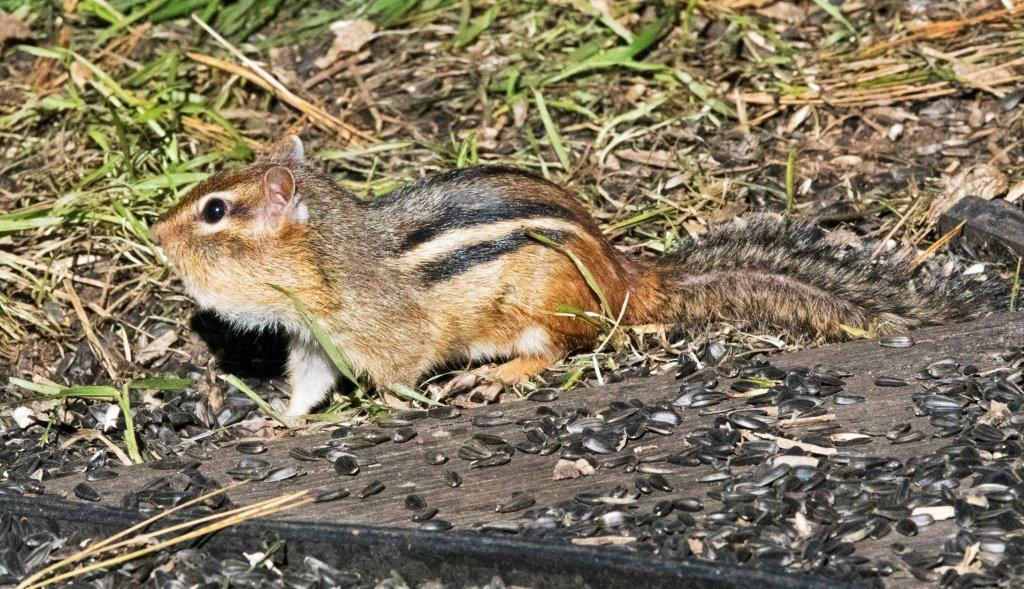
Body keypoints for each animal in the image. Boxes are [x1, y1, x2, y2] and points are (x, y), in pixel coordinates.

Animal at [151, 135, 1005, 416]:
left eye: (215, 212)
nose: (156, 232)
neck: (330, 259)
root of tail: (627, 277)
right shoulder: (314, 342)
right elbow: (308, 389)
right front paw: (279, 420)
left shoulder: (380, 334)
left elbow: (398, 376)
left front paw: (387, 409)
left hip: (538, 308)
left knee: (559, 350)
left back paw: (497, 375)